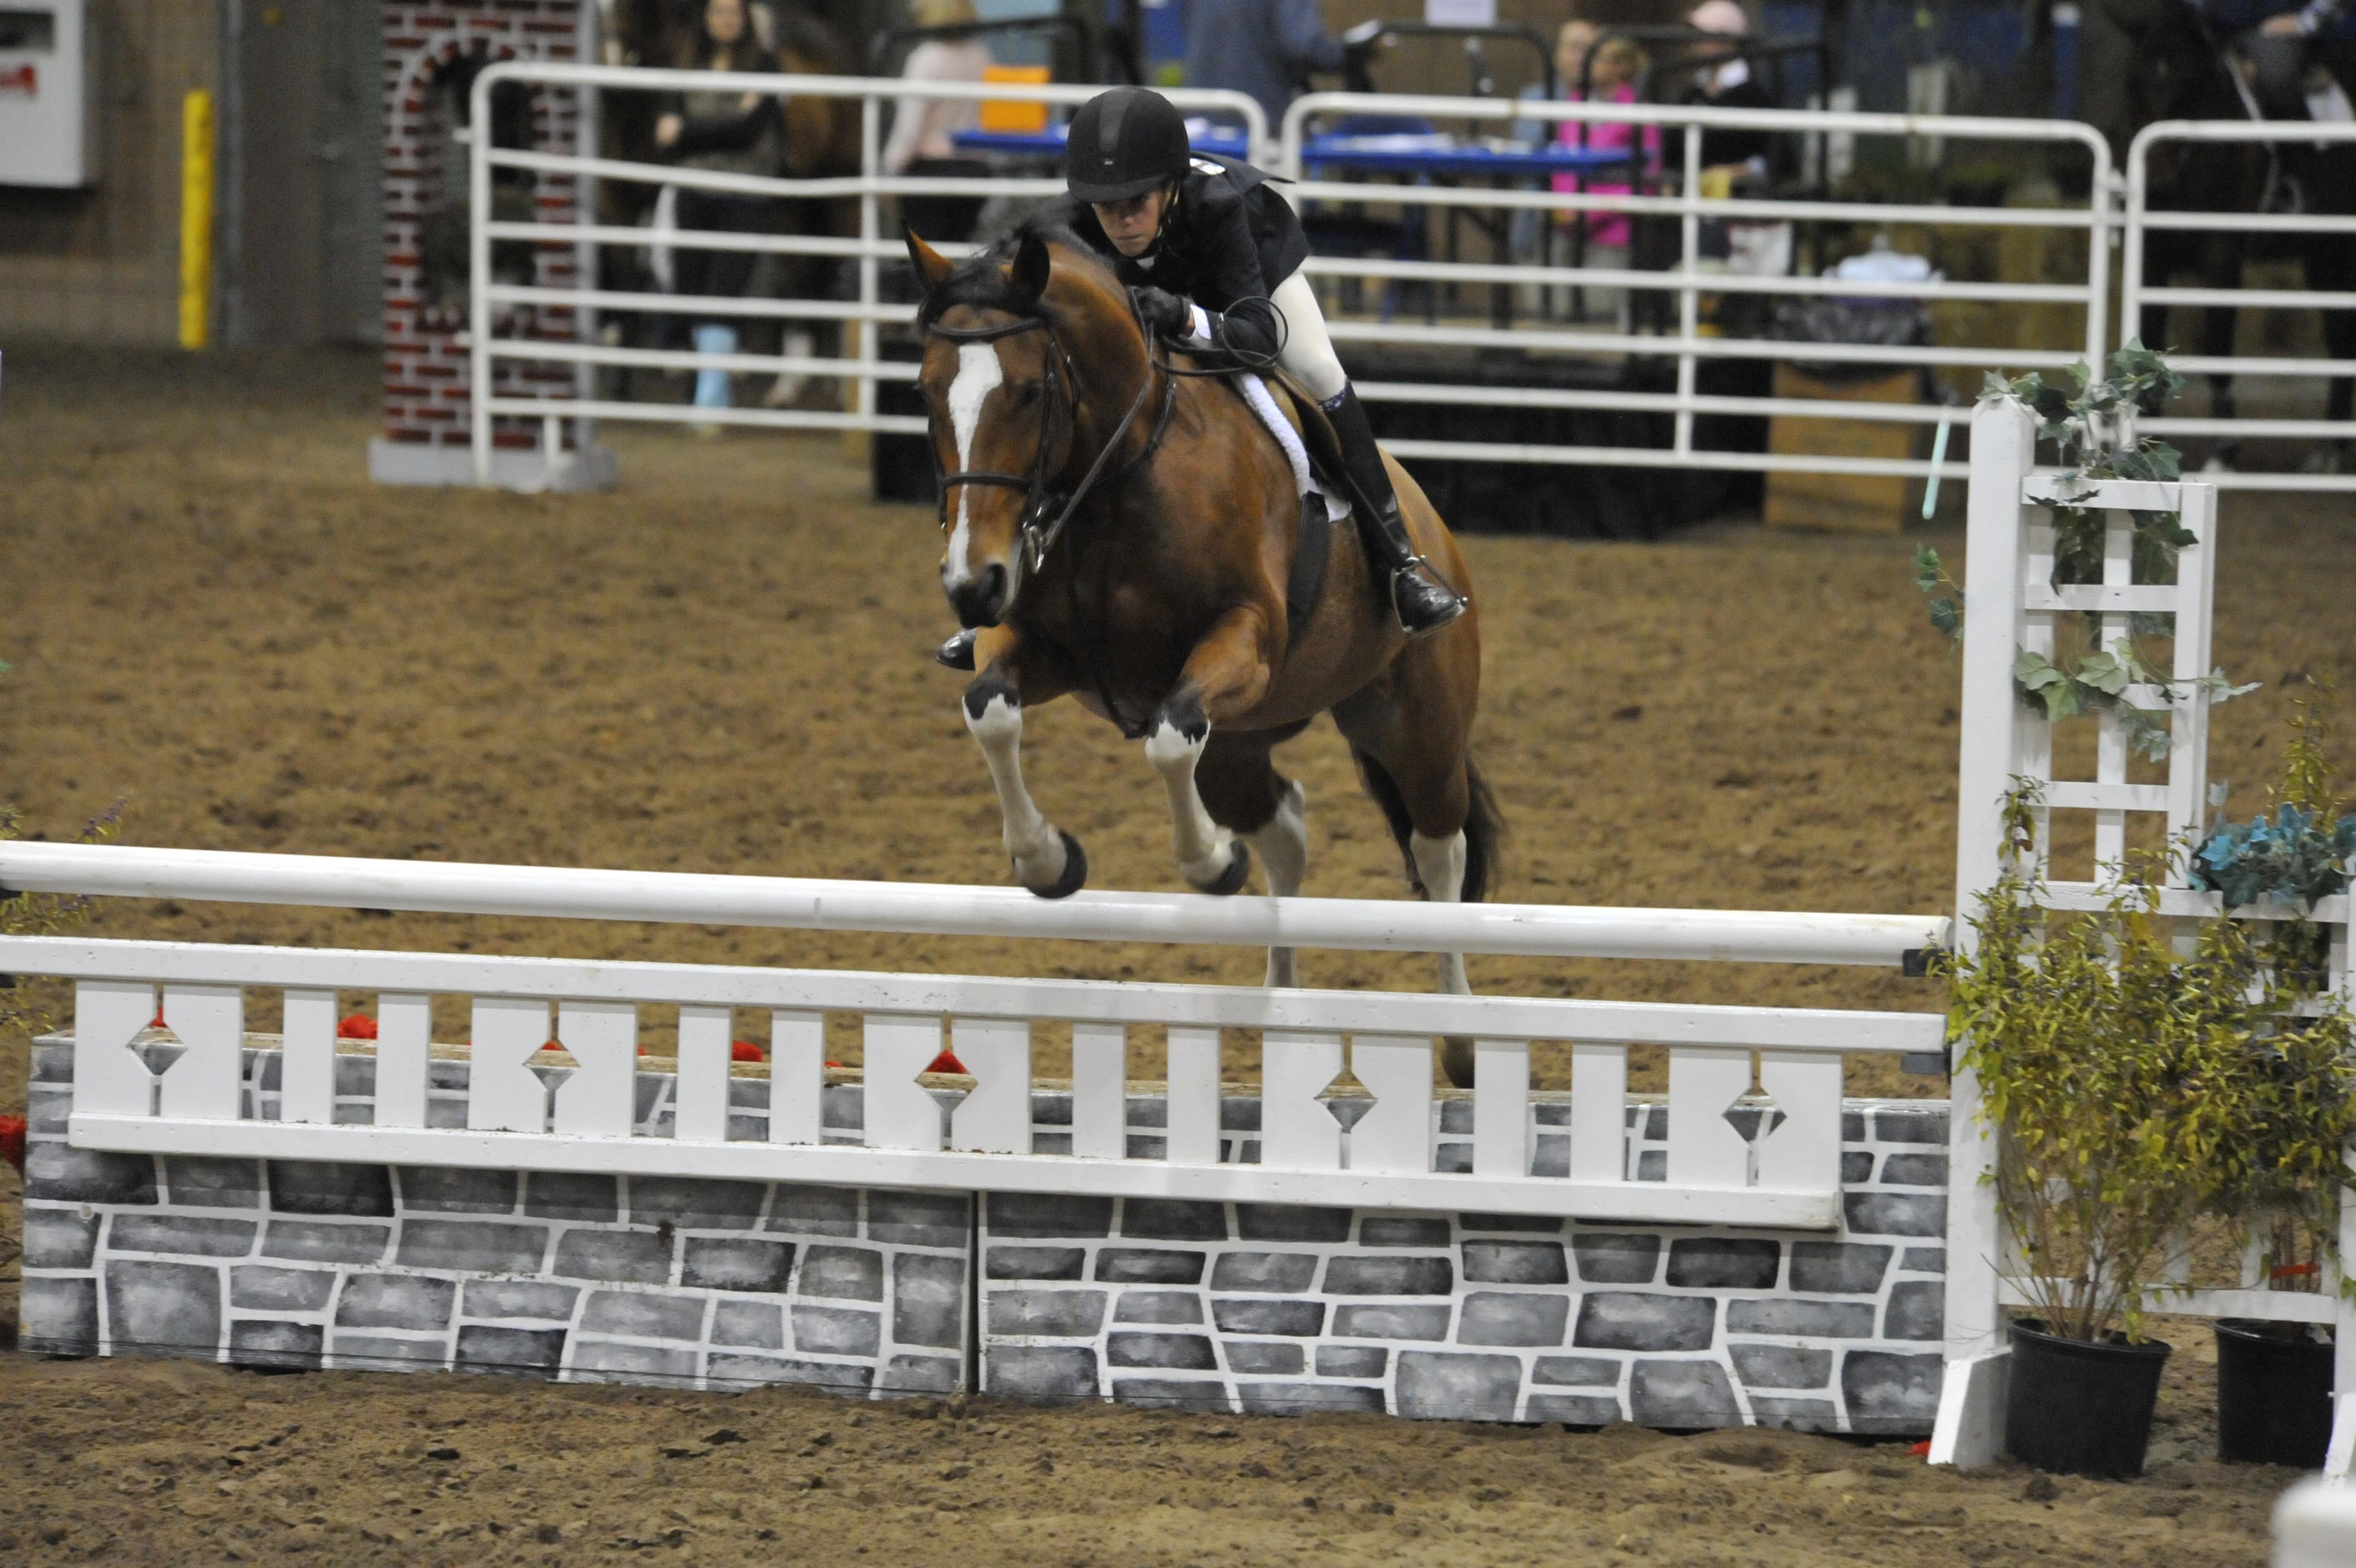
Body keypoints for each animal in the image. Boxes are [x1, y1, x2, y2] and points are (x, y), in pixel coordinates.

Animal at [905, 220, 1504, 1087]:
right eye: (925, 393)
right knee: (1284, 828)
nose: (972, 585)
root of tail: (1432, 526)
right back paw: (1280, 1000)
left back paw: (1458, 1035)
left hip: (1414, 726)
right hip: (1244, 744)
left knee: (1438, 851)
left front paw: (1210, 864)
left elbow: (1165, 736)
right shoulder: (1050, 653)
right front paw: (1048, 861)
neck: (1119, 477)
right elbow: (991, 711)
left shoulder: (1241, 641)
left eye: (1027, 392)